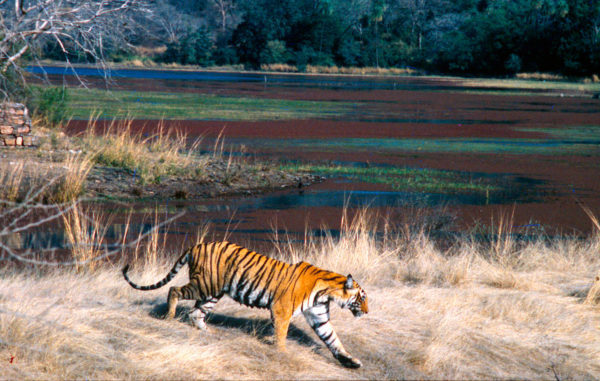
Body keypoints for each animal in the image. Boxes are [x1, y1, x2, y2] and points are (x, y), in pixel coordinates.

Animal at [122, 239, 368, 366]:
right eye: (362, 298)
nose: (367, 312)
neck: (327, 292)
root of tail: (196, 245)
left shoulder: (318, 316)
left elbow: (333, 339)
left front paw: (350, 361)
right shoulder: (281, 310)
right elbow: (281, 334)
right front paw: (282, 353)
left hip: (213, 293)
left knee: (195, 313)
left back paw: (209, 333)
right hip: (205, 285)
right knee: (174, 290)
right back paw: (170, 317)